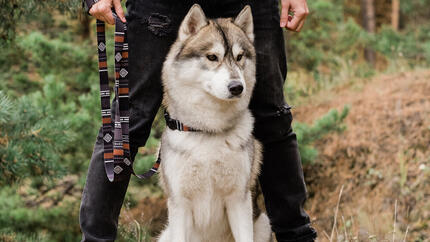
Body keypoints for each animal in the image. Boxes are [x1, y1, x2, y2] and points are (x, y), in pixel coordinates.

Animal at [158, 4, 270, 242]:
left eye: (239, 57)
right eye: (212, 56)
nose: (237, 87)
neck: (208, 129)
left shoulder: (239, 200)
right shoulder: (179, 205)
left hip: (264, 223)